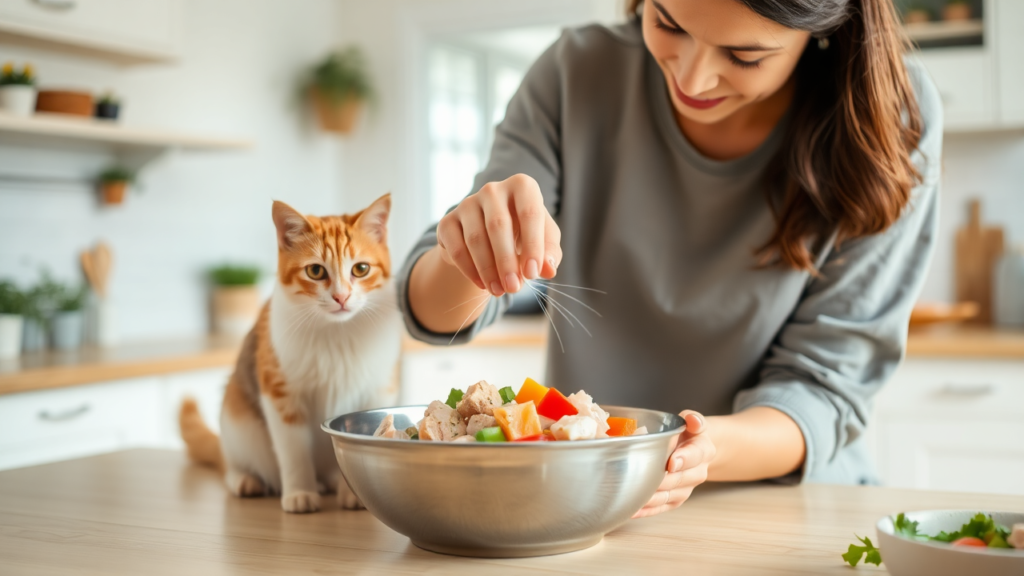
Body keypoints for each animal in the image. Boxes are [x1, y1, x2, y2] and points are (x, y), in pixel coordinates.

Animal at [178, 193, 401, 510]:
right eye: (315, 271)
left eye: (361, 269)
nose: (341, 296)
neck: (337, 333)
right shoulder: (280, 393)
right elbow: (294, 451)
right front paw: (299, 492)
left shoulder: (377, 389)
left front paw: (352, 493)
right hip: (237, 426)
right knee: (231, 465)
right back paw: (246, 480)